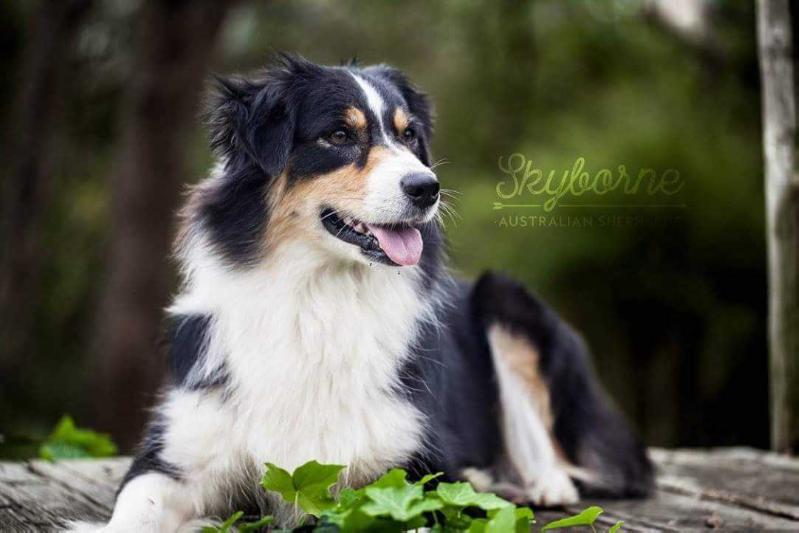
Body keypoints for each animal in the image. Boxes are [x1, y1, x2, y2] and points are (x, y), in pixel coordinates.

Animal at [79, 56, 648, 528]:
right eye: (337, 135)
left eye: (409, 135)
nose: (427, 188)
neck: (319, 295)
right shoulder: (174, 456)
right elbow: (132, 512)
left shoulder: (420, 471)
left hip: (507, 301)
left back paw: (538, 482)